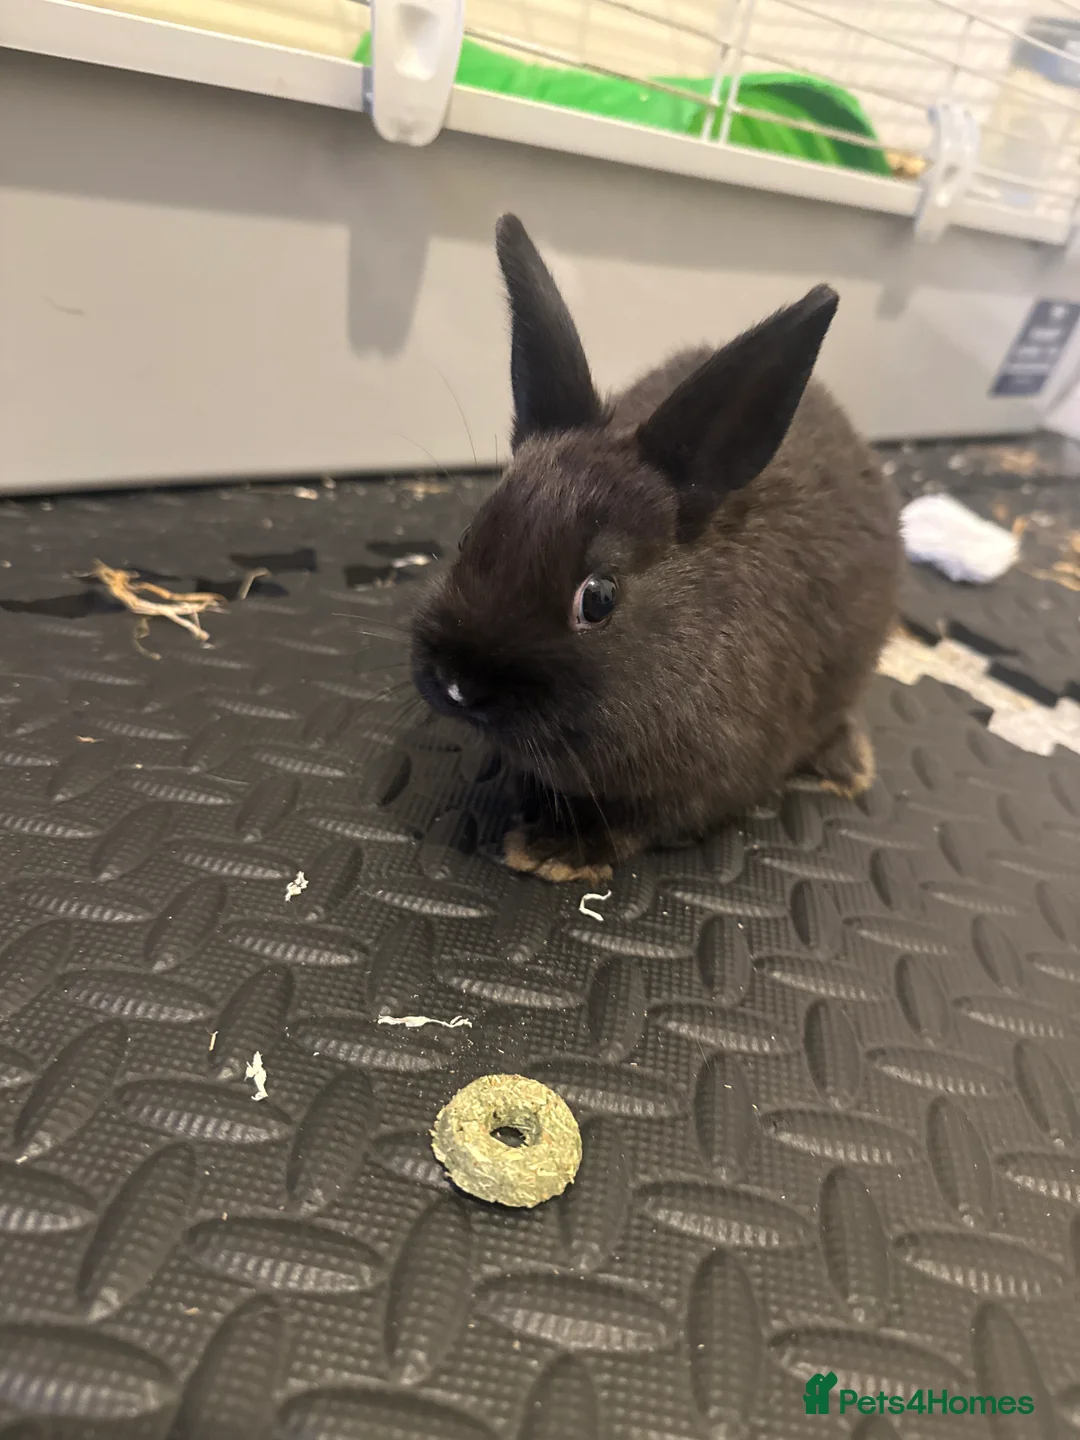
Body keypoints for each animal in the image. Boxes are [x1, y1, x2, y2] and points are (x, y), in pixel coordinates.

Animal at [410, 214, 902, 883]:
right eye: (468, 538)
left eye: (598, 598)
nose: (458, 683)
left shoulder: (701, 785)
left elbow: (638, 823)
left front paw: (555, 853)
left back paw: (849, 769)